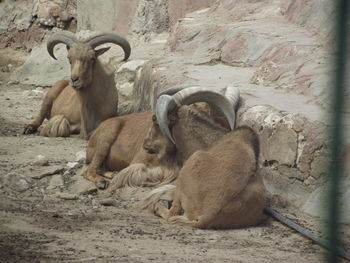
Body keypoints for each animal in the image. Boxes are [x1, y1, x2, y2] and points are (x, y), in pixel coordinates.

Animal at [80, 86, 239, 190]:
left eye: (155, 119)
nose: (145, 144)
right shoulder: (139, 163)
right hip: (106, 138)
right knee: (88, 169)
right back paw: (101, 181)